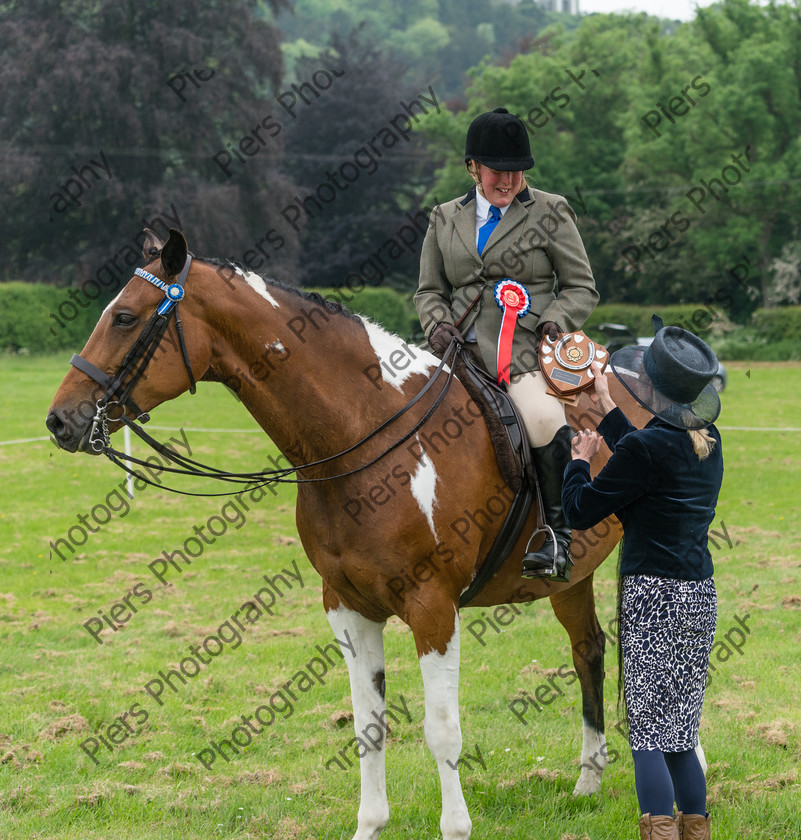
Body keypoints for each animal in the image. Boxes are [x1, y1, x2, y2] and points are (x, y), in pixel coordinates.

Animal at [45, 228, 648, 840]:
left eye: (124, 317)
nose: (60, 420)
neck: (364, 435)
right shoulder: (348, 608)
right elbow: (369, 727)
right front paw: (370, 825)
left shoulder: (433, 607)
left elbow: (442, 729)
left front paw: (455, 828)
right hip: (570, 579)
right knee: (587, 650)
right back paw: (589, 780)